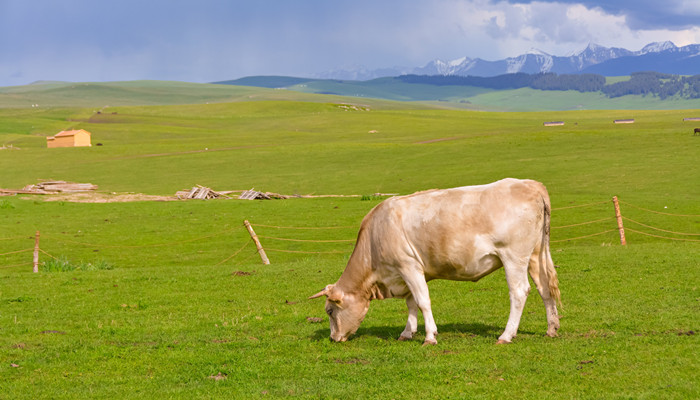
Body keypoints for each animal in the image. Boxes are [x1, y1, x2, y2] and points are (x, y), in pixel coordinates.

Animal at [308, 178, 560, 344]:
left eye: (330, 311)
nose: (333, 338)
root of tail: (531, 184)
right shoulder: (408, 272)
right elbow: (411, 302)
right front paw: (407, 332)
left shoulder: (408, 266)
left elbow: (422, 301)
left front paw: (429, 336)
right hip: (535, 255)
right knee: (544, 288)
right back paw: (552, 328)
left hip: (513, 257)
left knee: (519, 292)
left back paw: (506, 335)